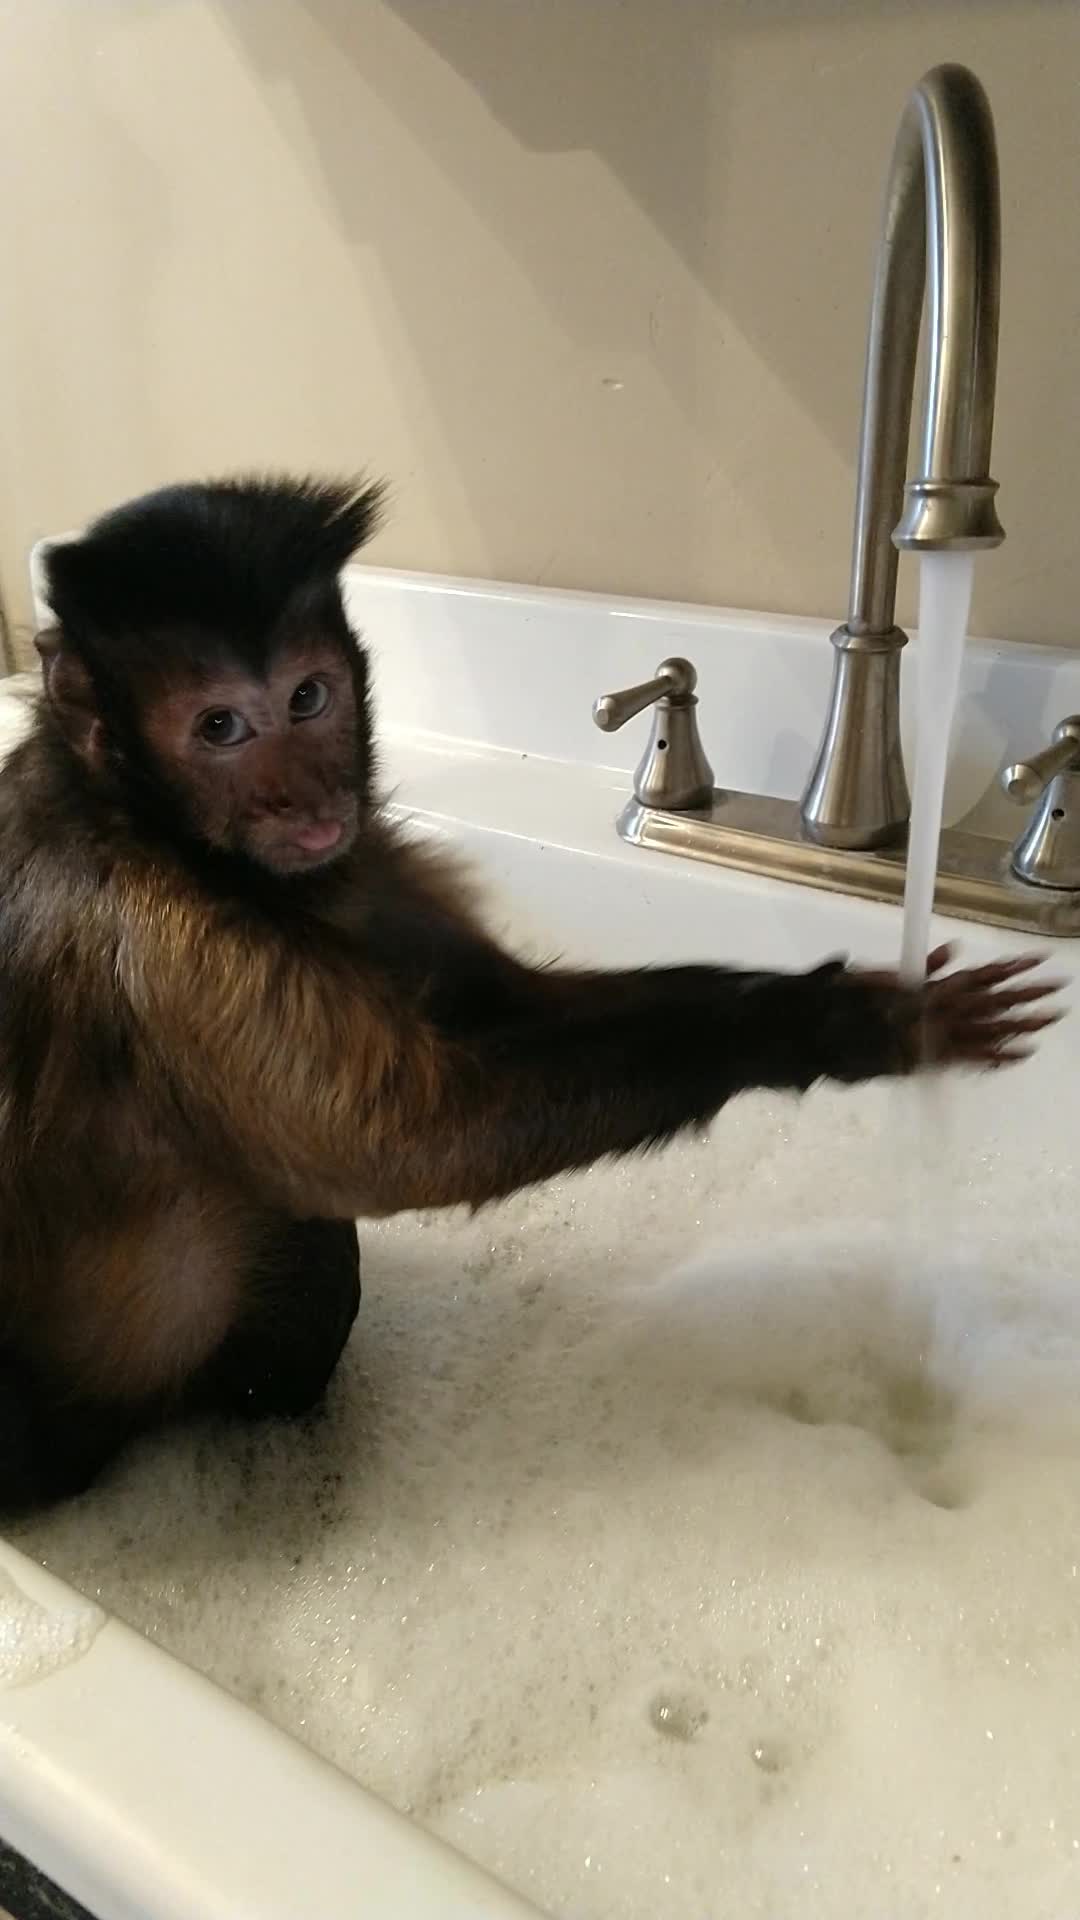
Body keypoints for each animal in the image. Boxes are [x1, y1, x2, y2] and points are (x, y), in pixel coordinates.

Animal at [0, 472, 1060, 1505]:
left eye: (306, 698)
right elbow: (416, 1140)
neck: (154, 828)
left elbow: (499, 1005)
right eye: (219, 726)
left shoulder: (360, 859)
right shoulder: (160, 945)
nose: (303, 797)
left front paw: (845, 1013)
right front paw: (836, 1025)